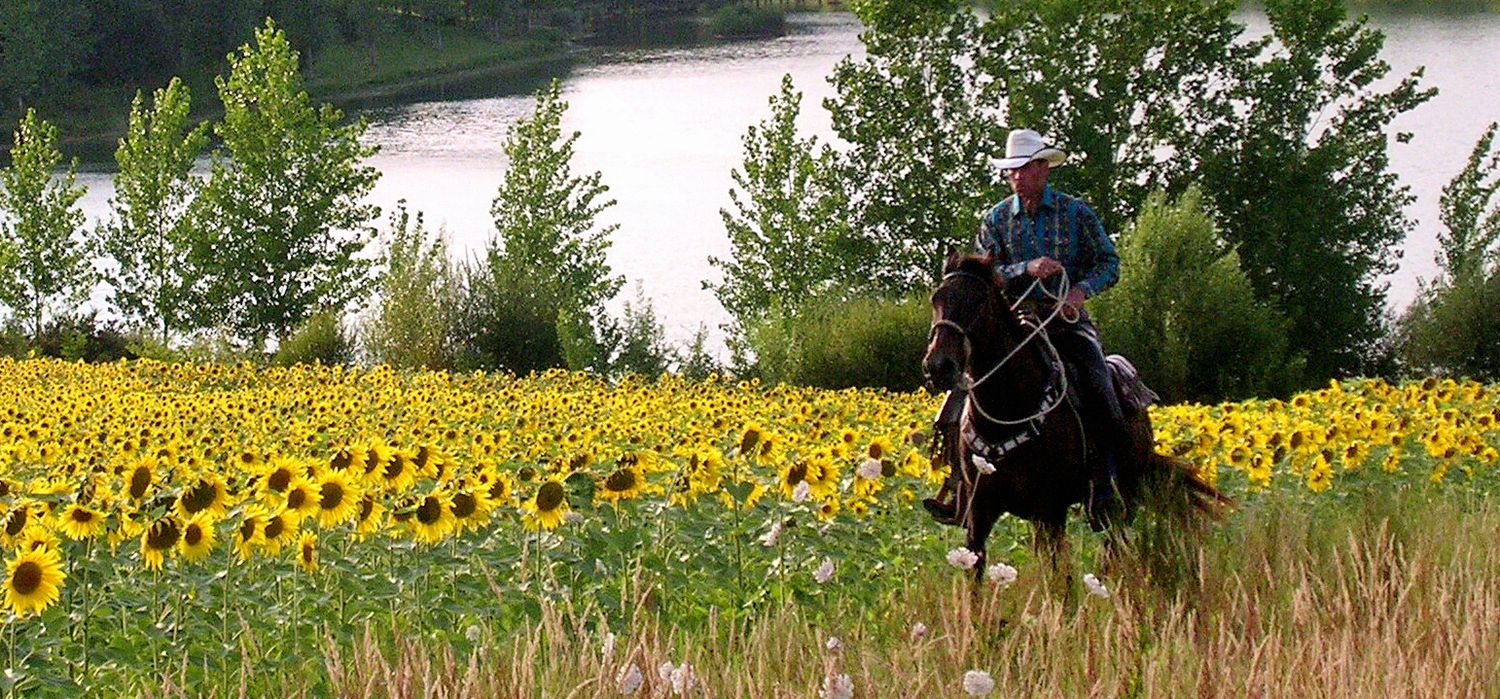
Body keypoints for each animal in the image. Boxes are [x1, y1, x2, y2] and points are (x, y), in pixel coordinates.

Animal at [918, 250, 1224, 579]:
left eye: (977, 301)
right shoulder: (979, 512)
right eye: (936, 298)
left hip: (1123, 501)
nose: (939, 366)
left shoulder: (1050, 510)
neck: (1007, 412)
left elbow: (1058, 578)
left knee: (1112, 549)